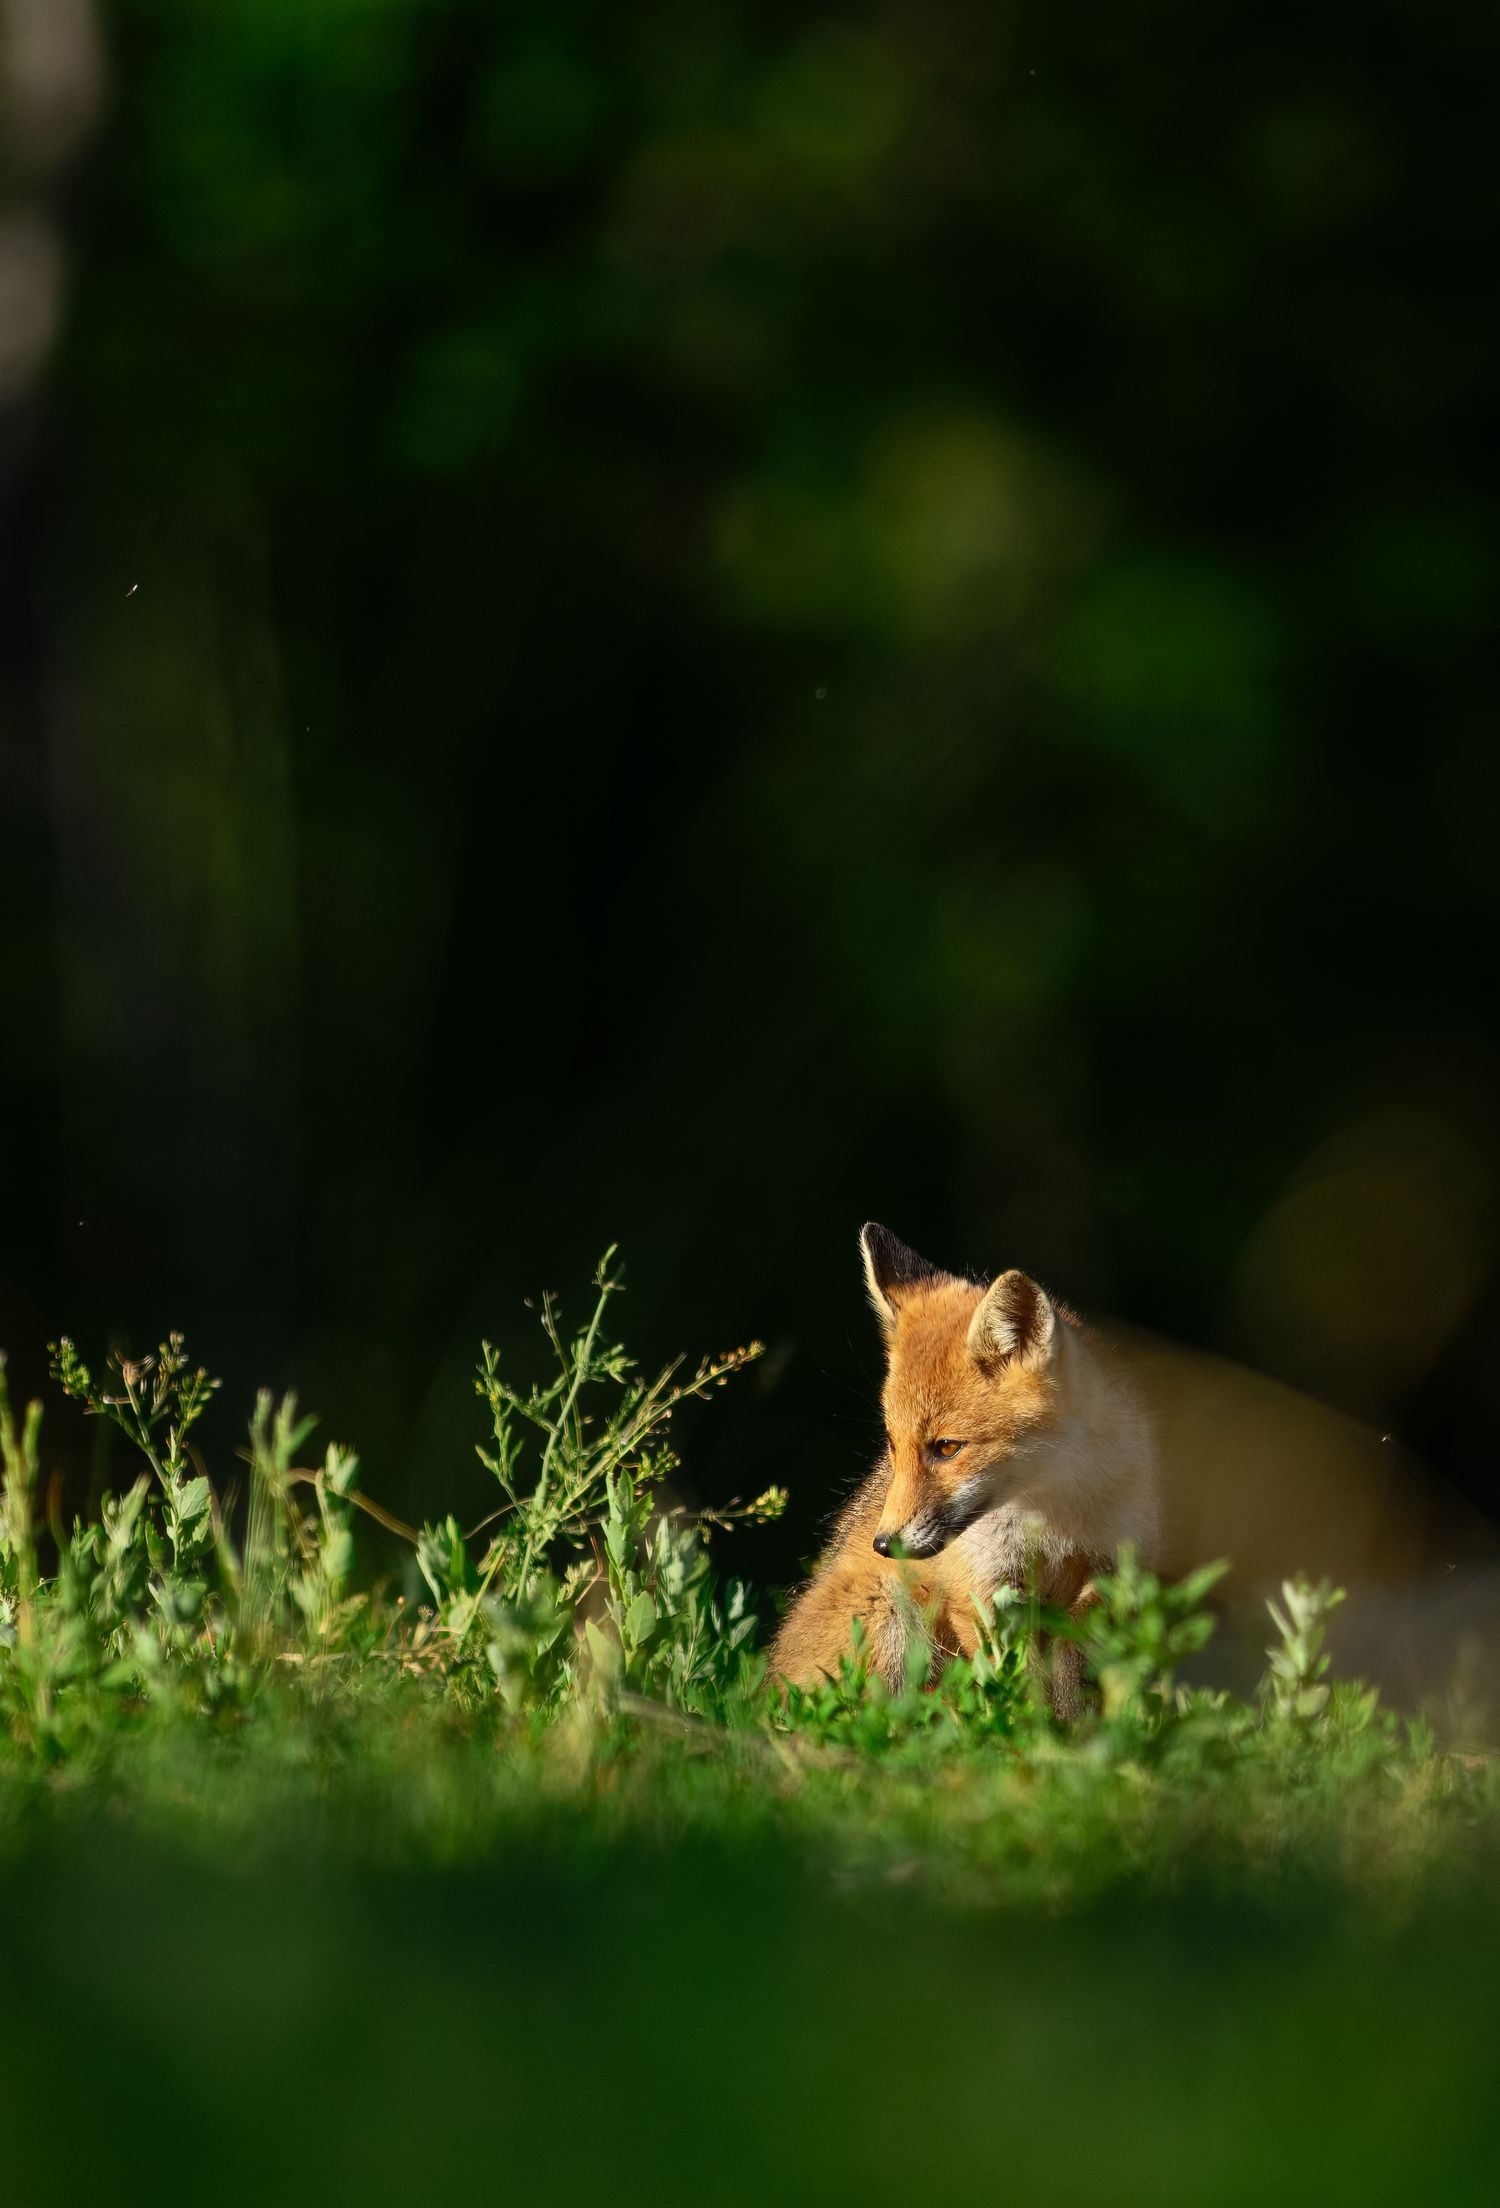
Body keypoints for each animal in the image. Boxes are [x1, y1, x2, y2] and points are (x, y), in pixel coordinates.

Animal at [771, 1223, 1161, 1717]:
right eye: (893, 1445)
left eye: (947, 1447)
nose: (885, 1544)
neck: (1054, 1517)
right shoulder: (980, 1592)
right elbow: (1021, 1688)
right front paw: (1033, 1733)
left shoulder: (1110, 1574)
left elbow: (1078, 1677)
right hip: (888, 1607)